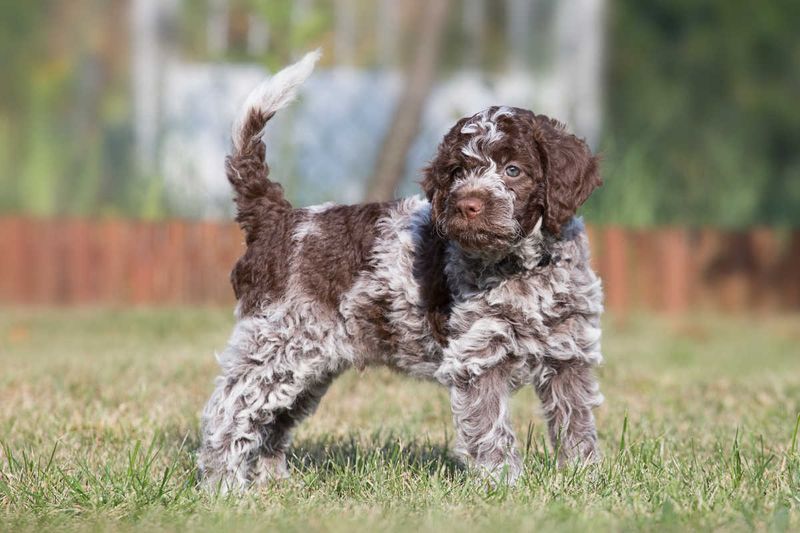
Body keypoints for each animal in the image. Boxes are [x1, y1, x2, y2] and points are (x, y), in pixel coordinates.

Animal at [200, 51, 608, 490]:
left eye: (513, 170)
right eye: (456, 173)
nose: (466, 204)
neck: (523, 268)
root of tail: (277, 217)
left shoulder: (569, 354)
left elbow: (575, 422)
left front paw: (584, 479)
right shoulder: (478, 359)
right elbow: (490, 429)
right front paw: (502, 485)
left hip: (310, 358)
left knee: (272, 421)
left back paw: (272, 484)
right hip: (277, 340)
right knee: (229, 411)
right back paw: (224, 486)